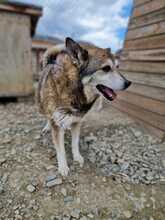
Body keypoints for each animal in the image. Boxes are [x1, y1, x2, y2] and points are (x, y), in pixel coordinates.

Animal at [36, 37, 131, 175]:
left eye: (117, 67)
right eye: (106, 68)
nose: (128, 83)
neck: (75, 91)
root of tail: (50, 62)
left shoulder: (77, 121)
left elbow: (75, 143)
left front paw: (77, 157)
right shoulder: (58, 126)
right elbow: (61, 150)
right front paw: (63, 167)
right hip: (42, 105)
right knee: (48, 116)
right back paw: (47, 127)